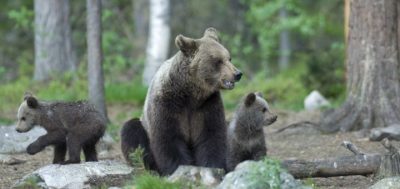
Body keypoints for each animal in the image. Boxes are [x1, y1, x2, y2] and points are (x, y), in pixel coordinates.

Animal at [120, 27, 242, 175]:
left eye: (229, 58)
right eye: (218, 61)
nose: (237, 74)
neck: (190, 93)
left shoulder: (207, 104)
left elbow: (211, 136)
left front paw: (213, 166)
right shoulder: (167, 104)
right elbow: (169, 137)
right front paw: (177, 168)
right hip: (143, 126)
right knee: (131, 130)